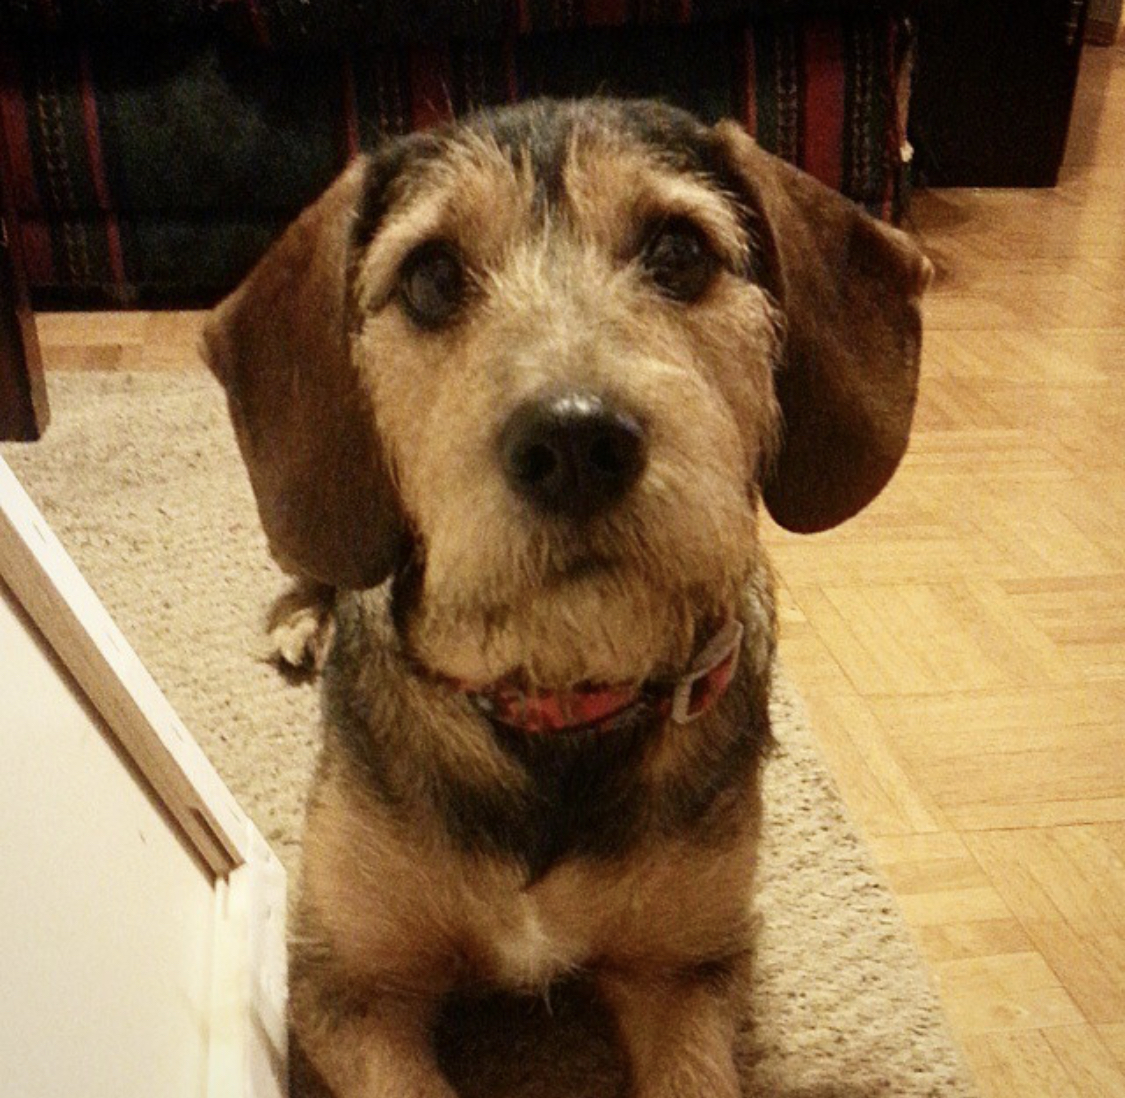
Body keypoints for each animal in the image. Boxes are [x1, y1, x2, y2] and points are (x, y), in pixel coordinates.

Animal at [204, 100, 931, 1098]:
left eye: (679, 253)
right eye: (431, 276)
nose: (577, 442)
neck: (553, 699)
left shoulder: (686, 970)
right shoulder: (347, 985)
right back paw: (302, 618)